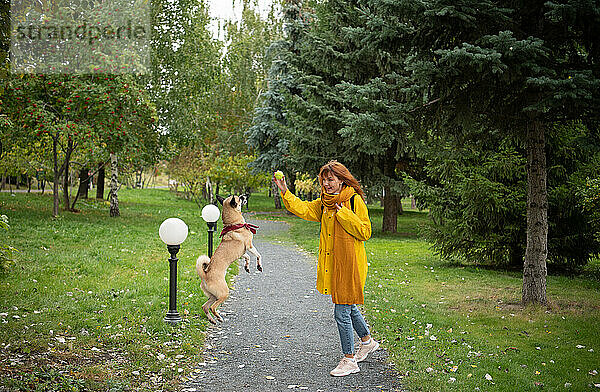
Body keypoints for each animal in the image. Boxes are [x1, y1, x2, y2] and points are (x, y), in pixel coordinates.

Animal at [196, 194, 262, 324]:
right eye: (240, 198)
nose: (245, 195)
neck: (234, 224)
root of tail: (205, 275)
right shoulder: (250, 246)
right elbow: (258, 255)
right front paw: (259, 266)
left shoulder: (242, 253)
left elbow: (247, 257)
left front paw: (247, 267)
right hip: (224, 293)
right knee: (212, 307)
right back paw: (218, 317)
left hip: (213, 296)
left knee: (205, 306)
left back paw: (212, 319)